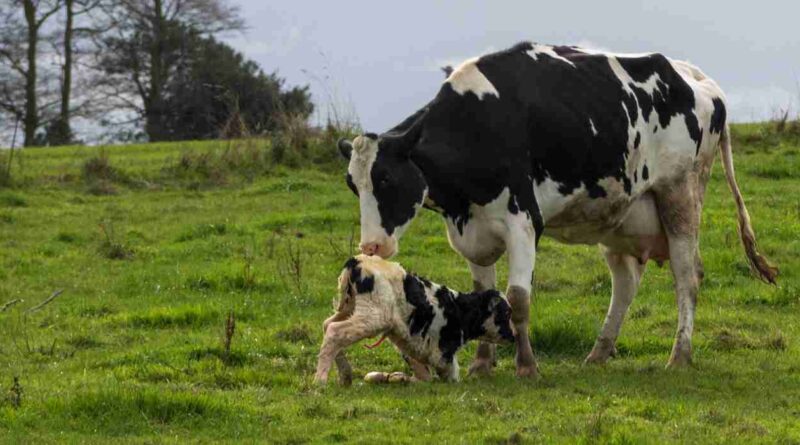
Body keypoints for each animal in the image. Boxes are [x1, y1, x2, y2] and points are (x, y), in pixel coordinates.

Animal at [316, 255, 516, 384]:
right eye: (506, 313)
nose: (513, 336)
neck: (459, 309)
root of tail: (357, 261)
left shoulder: (410, 342)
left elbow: (423, 376)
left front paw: (395, 378)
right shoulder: (444, 355)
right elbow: (450, 376)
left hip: (351, 308)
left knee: (328, 325)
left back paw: (345, 376)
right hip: (373, 317)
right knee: (335, 330)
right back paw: (320, 381)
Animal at [336, 40, 776, 378]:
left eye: (387, 180)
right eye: (352, 184)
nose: (371, 247)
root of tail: (694, 76)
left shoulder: (523, 222)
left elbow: (517, 299)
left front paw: (526, 366)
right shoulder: (473, 229)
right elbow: (483, 294)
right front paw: (482, 364)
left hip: (680, 195)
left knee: (687, 276)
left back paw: (679, 355)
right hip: (619, 214)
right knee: (626, 282)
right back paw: (599, 352)